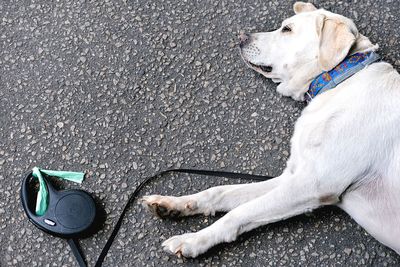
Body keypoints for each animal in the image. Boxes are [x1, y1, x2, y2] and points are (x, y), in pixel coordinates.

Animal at [141, 1, 400, 258]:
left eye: (287, 29)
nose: (240, 36)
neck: (341, 81)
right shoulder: (295, 176)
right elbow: (220, 191)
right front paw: (174, 205)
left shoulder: (315, 184)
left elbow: (238, 212)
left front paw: (193, 240)